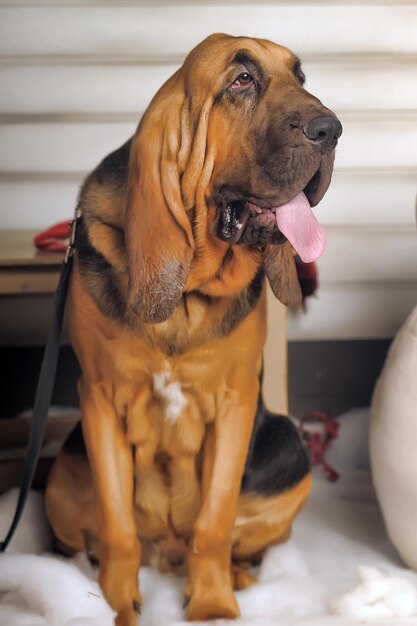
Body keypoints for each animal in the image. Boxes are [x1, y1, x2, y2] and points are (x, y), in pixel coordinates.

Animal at [44, 34, 342, 624]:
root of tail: (167, 552)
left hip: (290, 453)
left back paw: (237, 574)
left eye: (300, 76)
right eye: (241, 81)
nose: (332, 130)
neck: (187, 295)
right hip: (58, 479)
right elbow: (117, 525)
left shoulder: (235, 402)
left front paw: (211, 603)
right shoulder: (99, 398)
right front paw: (115, 605)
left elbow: (214, 521)